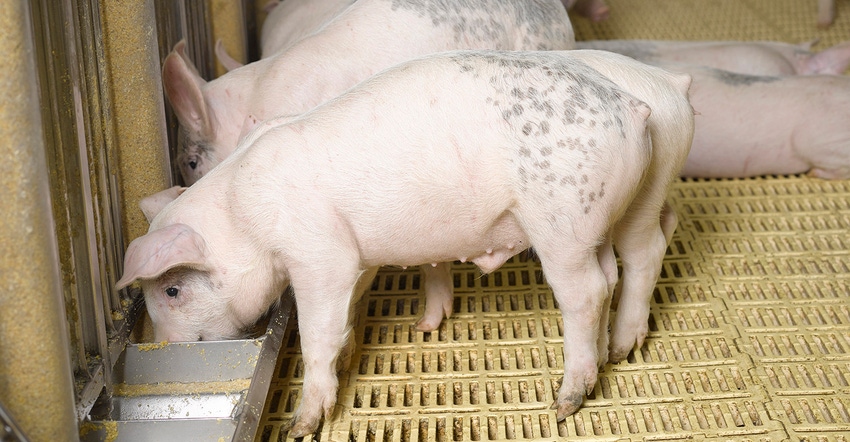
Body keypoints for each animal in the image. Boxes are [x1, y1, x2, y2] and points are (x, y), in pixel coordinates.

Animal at [121, 50, 664, 436]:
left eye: (171, 290)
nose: (163, 346)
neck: (243, 215)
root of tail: (632, 107)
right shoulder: (356, 260)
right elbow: (348, 312)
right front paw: (350, 354)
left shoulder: (321, 256)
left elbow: (316, 333)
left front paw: (302, 426)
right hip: (595, 220)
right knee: (609, 277)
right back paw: (607, 358)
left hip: (561, 221)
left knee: (588, 291)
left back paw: (565, 402)